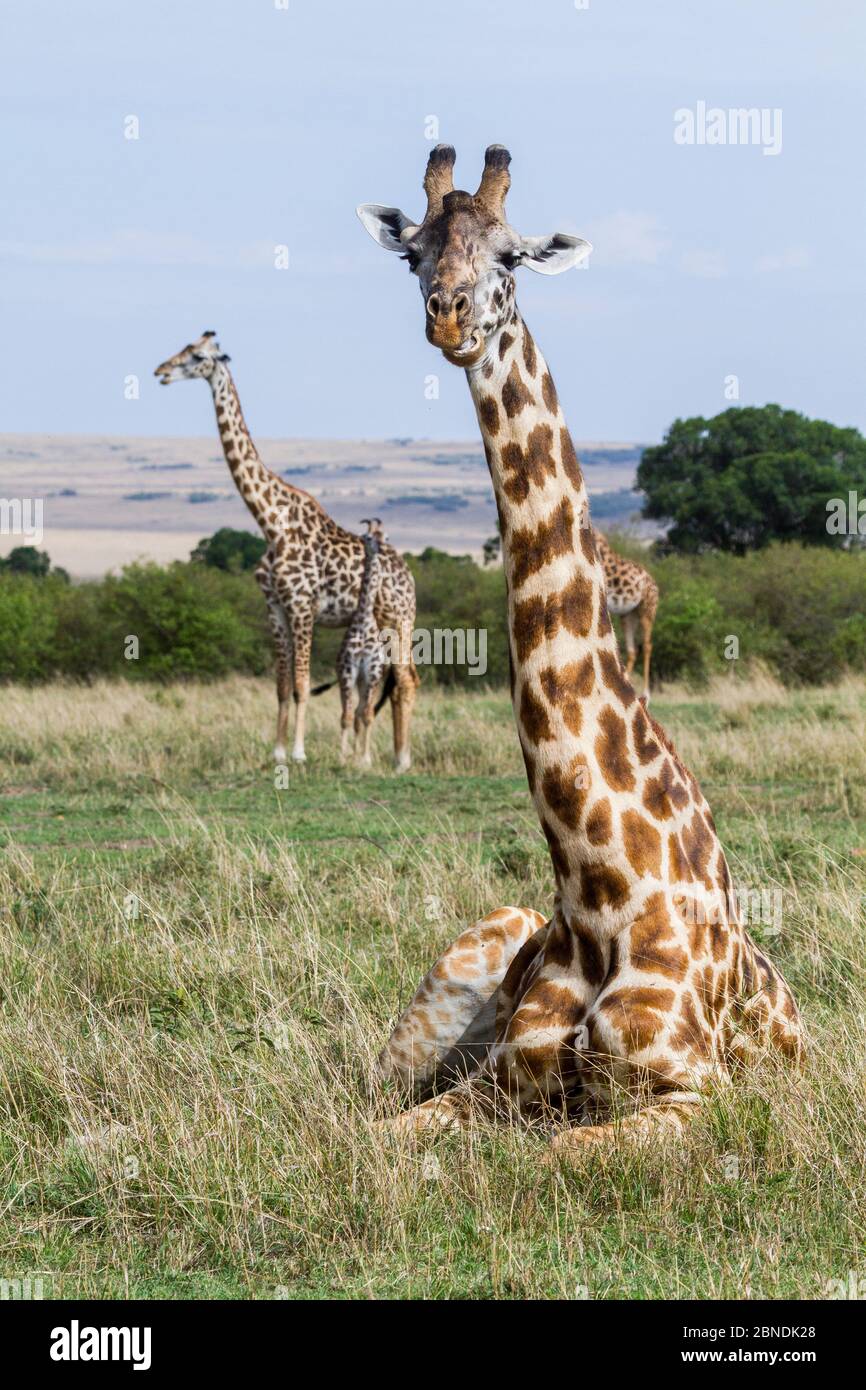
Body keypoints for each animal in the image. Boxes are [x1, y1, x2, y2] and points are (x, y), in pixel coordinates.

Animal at [154, 334, 418, 770]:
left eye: (198, 357)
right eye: (183, 347)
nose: (161, 371)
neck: (270, 521)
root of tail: (410, 576)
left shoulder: (301, 606)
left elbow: (301, 683)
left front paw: (298, 752)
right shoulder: (274, 607)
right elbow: (280, 684)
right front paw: (277, 750)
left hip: (400, 622)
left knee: (407, 681)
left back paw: (400, 760)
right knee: (397, 684)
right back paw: (384, 756)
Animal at [594, 531, 659, 696]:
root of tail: (655, 586)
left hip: (646, 611)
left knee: (647, 645)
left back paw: (645, 693)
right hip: (629, 615)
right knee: (632, 650)